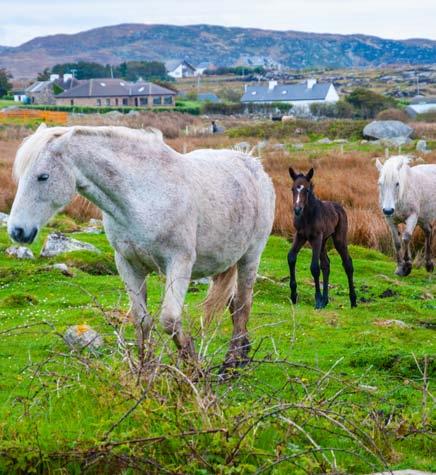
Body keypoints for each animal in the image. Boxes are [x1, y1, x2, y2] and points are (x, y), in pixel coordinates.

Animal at [7, 124, 276, 370]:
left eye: (43, 176)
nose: (17, 231)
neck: (144, 194)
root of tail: (253, 163)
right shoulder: (128, 264)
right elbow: (141, 320)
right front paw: (145, 369)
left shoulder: (179, 262)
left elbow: (169, 321)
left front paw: (193, 367)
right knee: (233, 303)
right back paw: (243, 353)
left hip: (250, 256)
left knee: (243, 304)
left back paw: (233, 363)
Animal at [288, 169, 356, 310]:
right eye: (292, 189)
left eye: (307, 190)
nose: (297, 209)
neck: (307, 216)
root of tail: (339, 207)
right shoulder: (300, 236)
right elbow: (291, 257)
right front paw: (293, 295)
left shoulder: (316, 237)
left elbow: (314, 267)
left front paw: (317, 300)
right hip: (324, 241)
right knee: (326, 264)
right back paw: (325, 300)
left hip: (338, 239)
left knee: (347, 263)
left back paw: (353, 300)